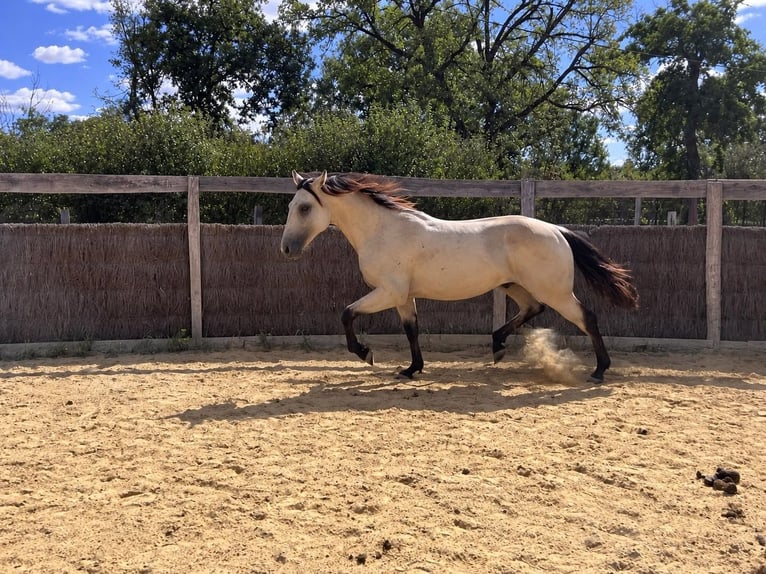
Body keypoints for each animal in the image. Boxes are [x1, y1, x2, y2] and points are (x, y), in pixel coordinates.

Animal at [280, 171, 639, 383]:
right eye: (291, 206)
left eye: (304, 208)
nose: (287, 249)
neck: (383, 230)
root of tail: (556, 230)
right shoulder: (404, 296)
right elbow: (411, 330)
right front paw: (411, 369)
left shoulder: (388, 291)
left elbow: (346, 313)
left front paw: (366, 354)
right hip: (513, 284)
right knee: (533, 308)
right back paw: (497, 346)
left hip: (556, 291)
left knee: (586, 317)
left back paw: (599, 371)